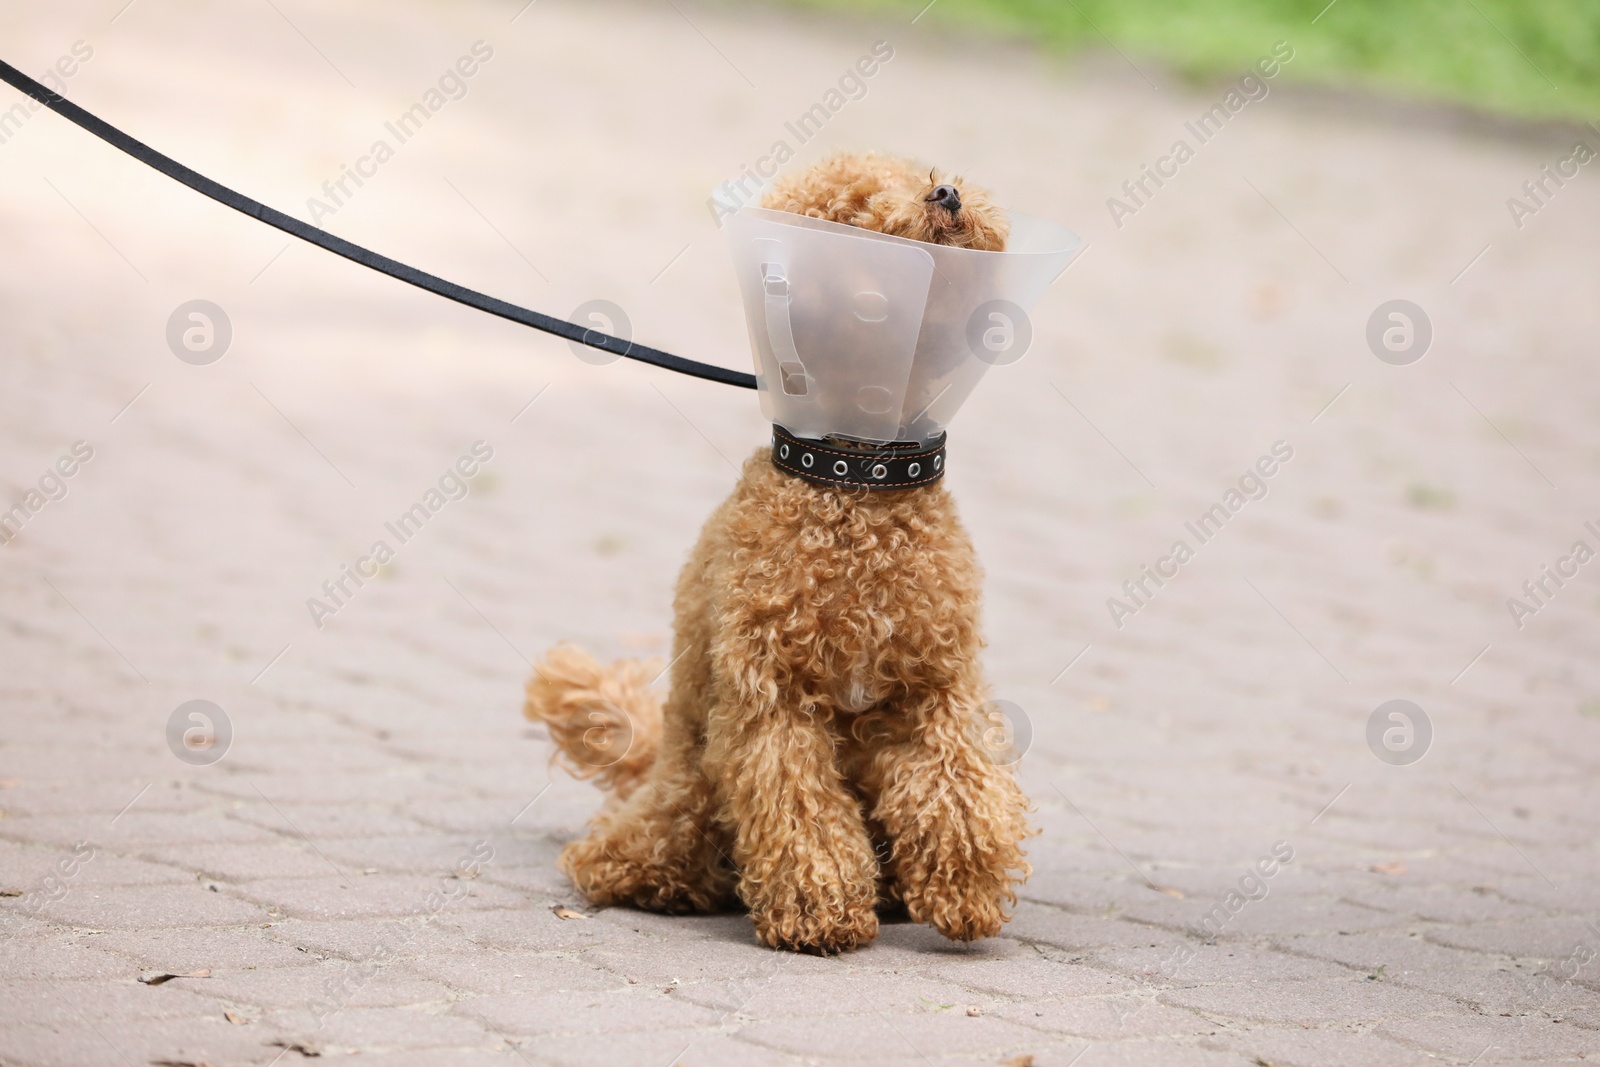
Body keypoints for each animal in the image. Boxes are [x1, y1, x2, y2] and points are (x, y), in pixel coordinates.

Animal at [518, 151, 1030, 953]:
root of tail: (652, 769)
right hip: (686, 797)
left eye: (923, 170)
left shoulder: (937, 686)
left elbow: (959, 784)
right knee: (633, 853)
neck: (857, 477)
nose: (946, 193)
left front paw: (967, 885)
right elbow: (799, 807)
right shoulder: (772, 697)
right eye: (851, 213)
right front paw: (822, 908)